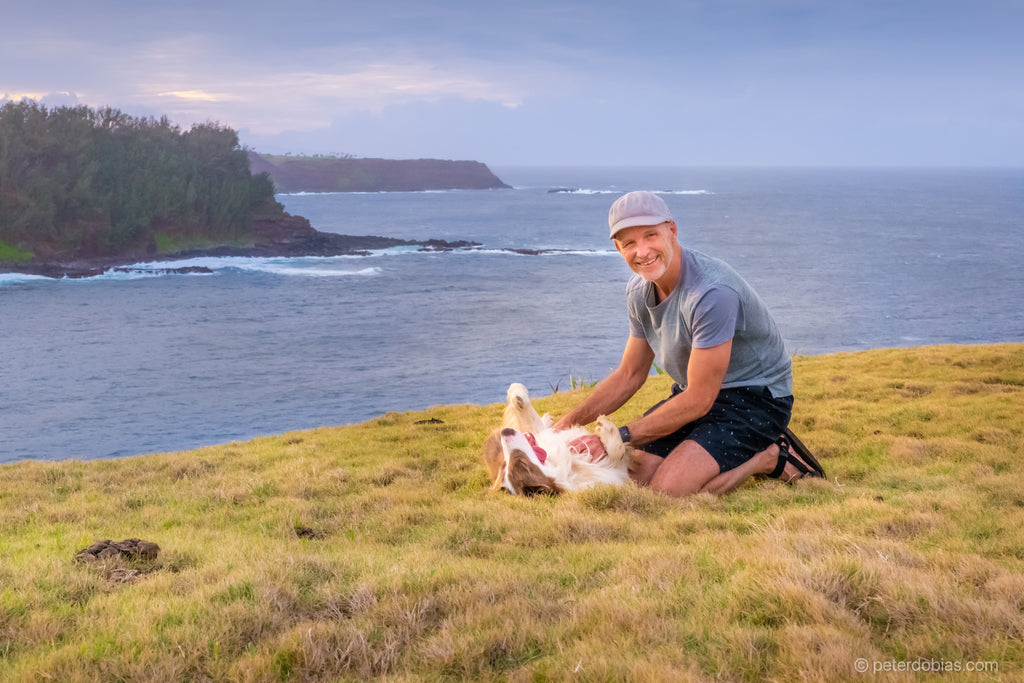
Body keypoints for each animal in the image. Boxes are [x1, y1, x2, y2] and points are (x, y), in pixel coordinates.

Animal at [479, 382, 630, 493]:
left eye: (505, 463)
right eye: (522, 463)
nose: (505, 432)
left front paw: (516, 392)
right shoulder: (613, 474)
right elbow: (618, 453)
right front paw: (606, 427)